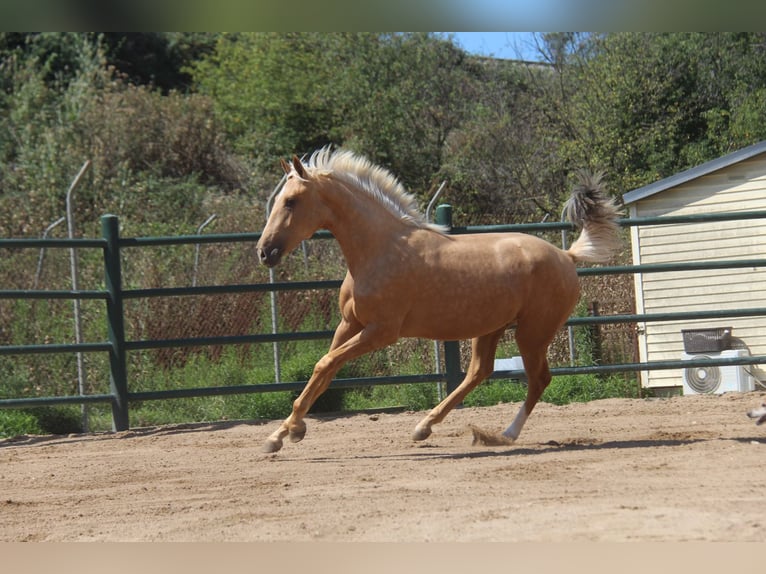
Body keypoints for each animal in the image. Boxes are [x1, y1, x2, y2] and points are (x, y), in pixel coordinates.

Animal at [258, 148, 624, 454]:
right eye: (278, 200)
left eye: (291, 202)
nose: (264, 251)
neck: (380, 249)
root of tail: (566, 256)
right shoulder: (350, 324)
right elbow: (324, 371)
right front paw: (283, 433)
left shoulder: (380, 332)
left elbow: (324, 364)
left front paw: (287, 434)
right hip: (491, 328)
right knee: (479, 371)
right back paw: (425, 427)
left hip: (532, 334)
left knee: (538, 380)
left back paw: (504, 435)